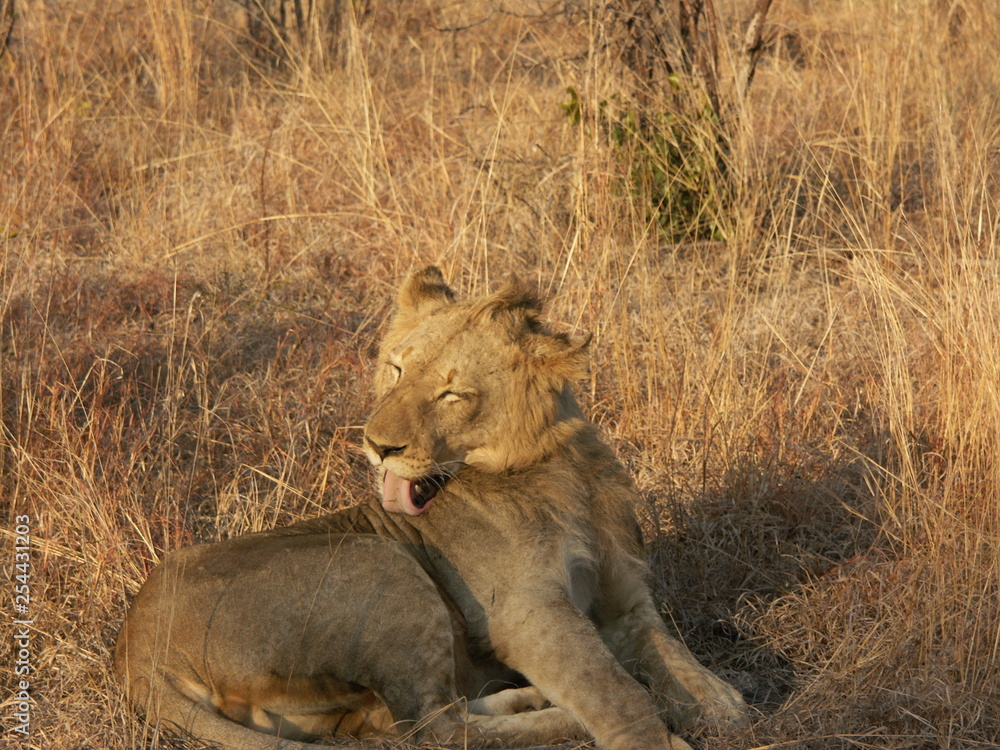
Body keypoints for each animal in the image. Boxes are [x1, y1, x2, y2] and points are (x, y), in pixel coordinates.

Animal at [115, 266, 747, 750]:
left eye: (452, 393)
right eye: (396, 369)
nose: (376, 445)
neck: (560, 469)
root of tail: (137, 647)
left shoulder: (625, 596)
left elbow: (669, 652)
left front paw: (720, 702)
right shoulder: (525, 612)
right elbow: (615, 689)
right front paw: (660, 739)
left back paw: (524, 697)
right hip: (380, 563)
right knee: (433, 728)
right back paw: (557, 715)